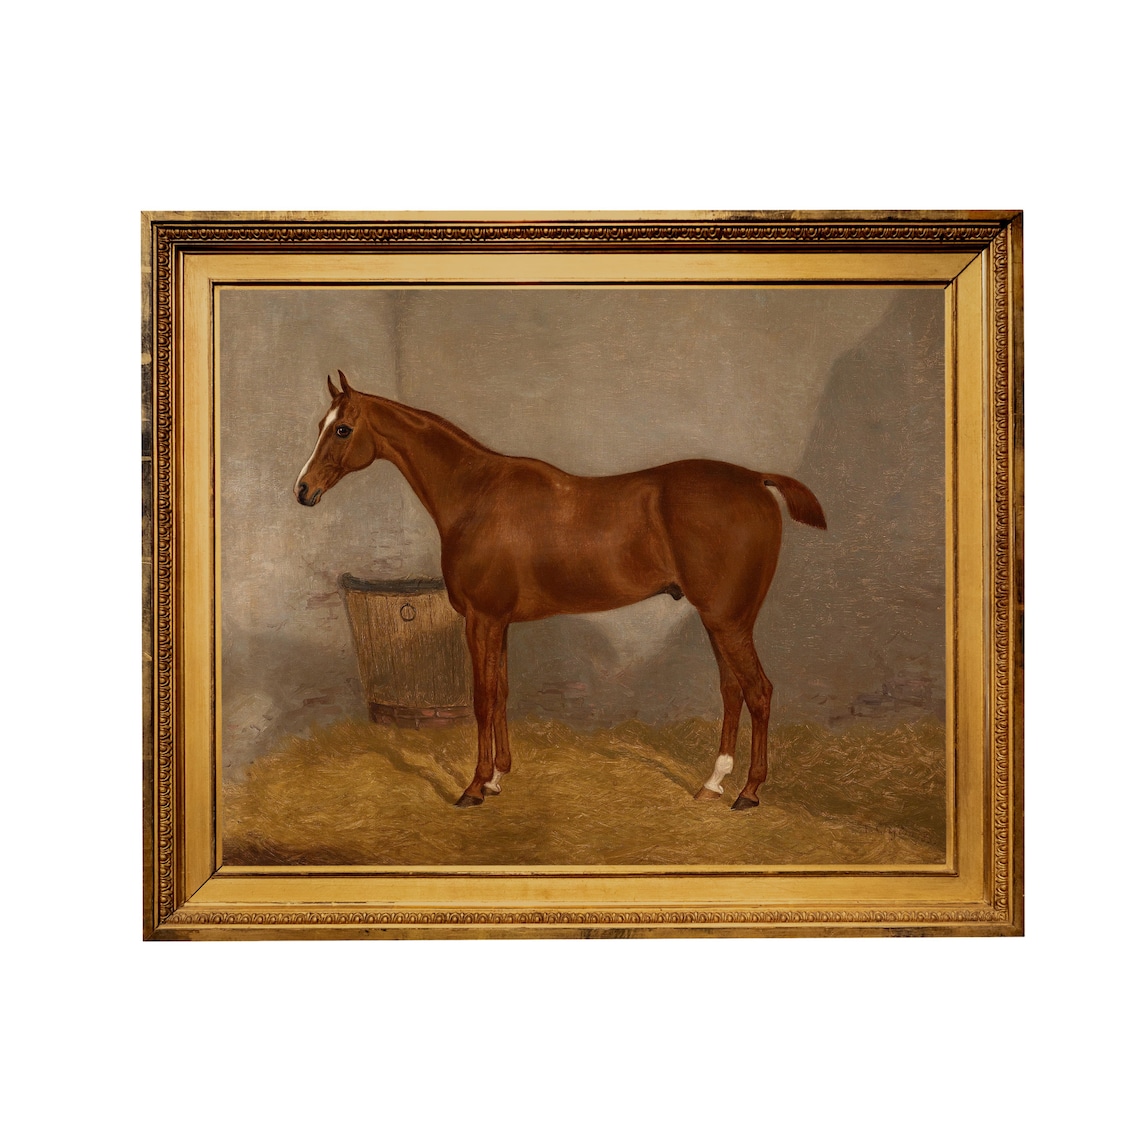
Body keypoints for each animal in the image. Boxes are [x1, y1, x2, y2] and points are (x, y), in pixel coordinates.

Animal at [294, 370, 826, 810]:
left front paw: (474, 787)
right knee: (732, 690)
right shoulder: (499, 622)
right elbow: (502, 693)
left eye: (342, 429)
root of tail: (756, 479)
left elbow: (483, 698)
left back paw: (749, 793)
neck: (474, 493)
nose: (302, 489)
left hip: (727, 620)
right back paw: (712, 783)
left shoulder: (481, 619)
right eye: (321, 423)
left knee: (758, 692)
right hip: (720, 620)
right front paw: (497, 779)